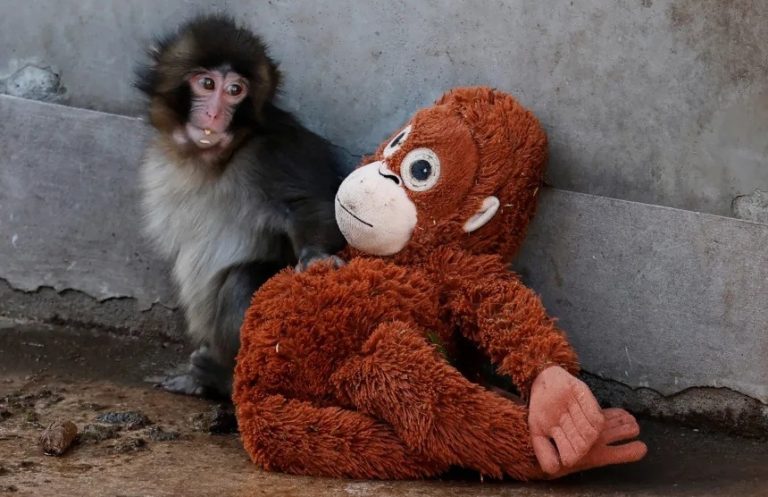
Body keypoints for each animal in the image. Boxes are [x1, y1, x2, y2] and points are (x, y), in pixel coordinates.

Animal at [135, 15, 347, 398]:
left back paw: (221, 378)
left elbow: (313, 205)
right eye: (207, 84)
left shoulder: (274, 152)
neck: (213, 159)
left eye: (235, 90)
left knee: (243, 280)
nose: (215, 113)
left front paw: (315, 257)